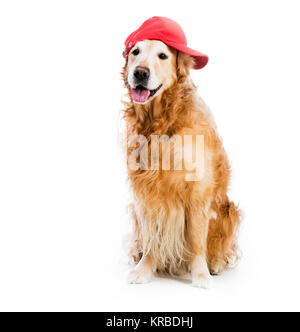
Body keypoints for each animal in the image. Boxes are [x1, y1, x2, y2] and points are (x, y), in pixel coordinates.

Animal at [120, 39, 240, 288]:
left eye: (163, 55)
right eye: (135, 52)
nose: (140, 73)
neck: (160, 123)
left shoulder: (197, 193)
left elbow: (196, 239)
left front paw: (200, 275)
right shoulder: (145, 193)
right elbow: (151, 237)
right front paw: (144, 269)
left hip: (228, 210)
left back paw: (215, 264)